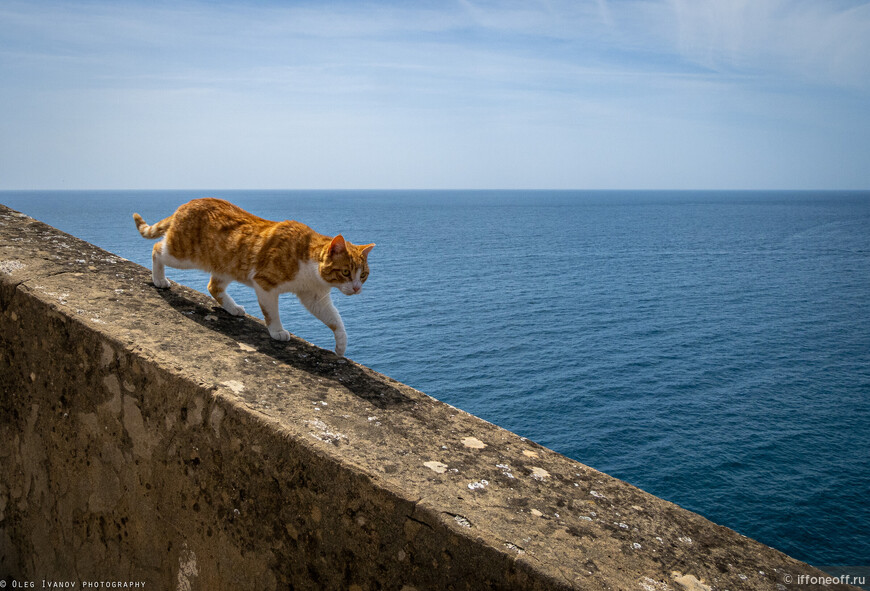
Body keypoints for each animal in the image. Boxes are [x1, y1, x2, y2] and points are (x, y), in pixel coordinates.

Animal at [134, 198, 374, 356]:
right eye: (346, 272)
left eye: (363, 275)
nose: (356, 288)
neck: (309, 264)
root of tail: (187, 203)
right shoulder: (265, 284)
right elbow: (271, 313)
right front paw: (277, 331)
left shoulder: (314, 297)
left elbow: (335, 320)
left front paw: (341, 345)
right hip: (182, 254)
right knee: (157, 249)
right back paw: (159, 279)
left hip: (225, 266)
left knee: (213, 287)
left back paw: (232, 308)